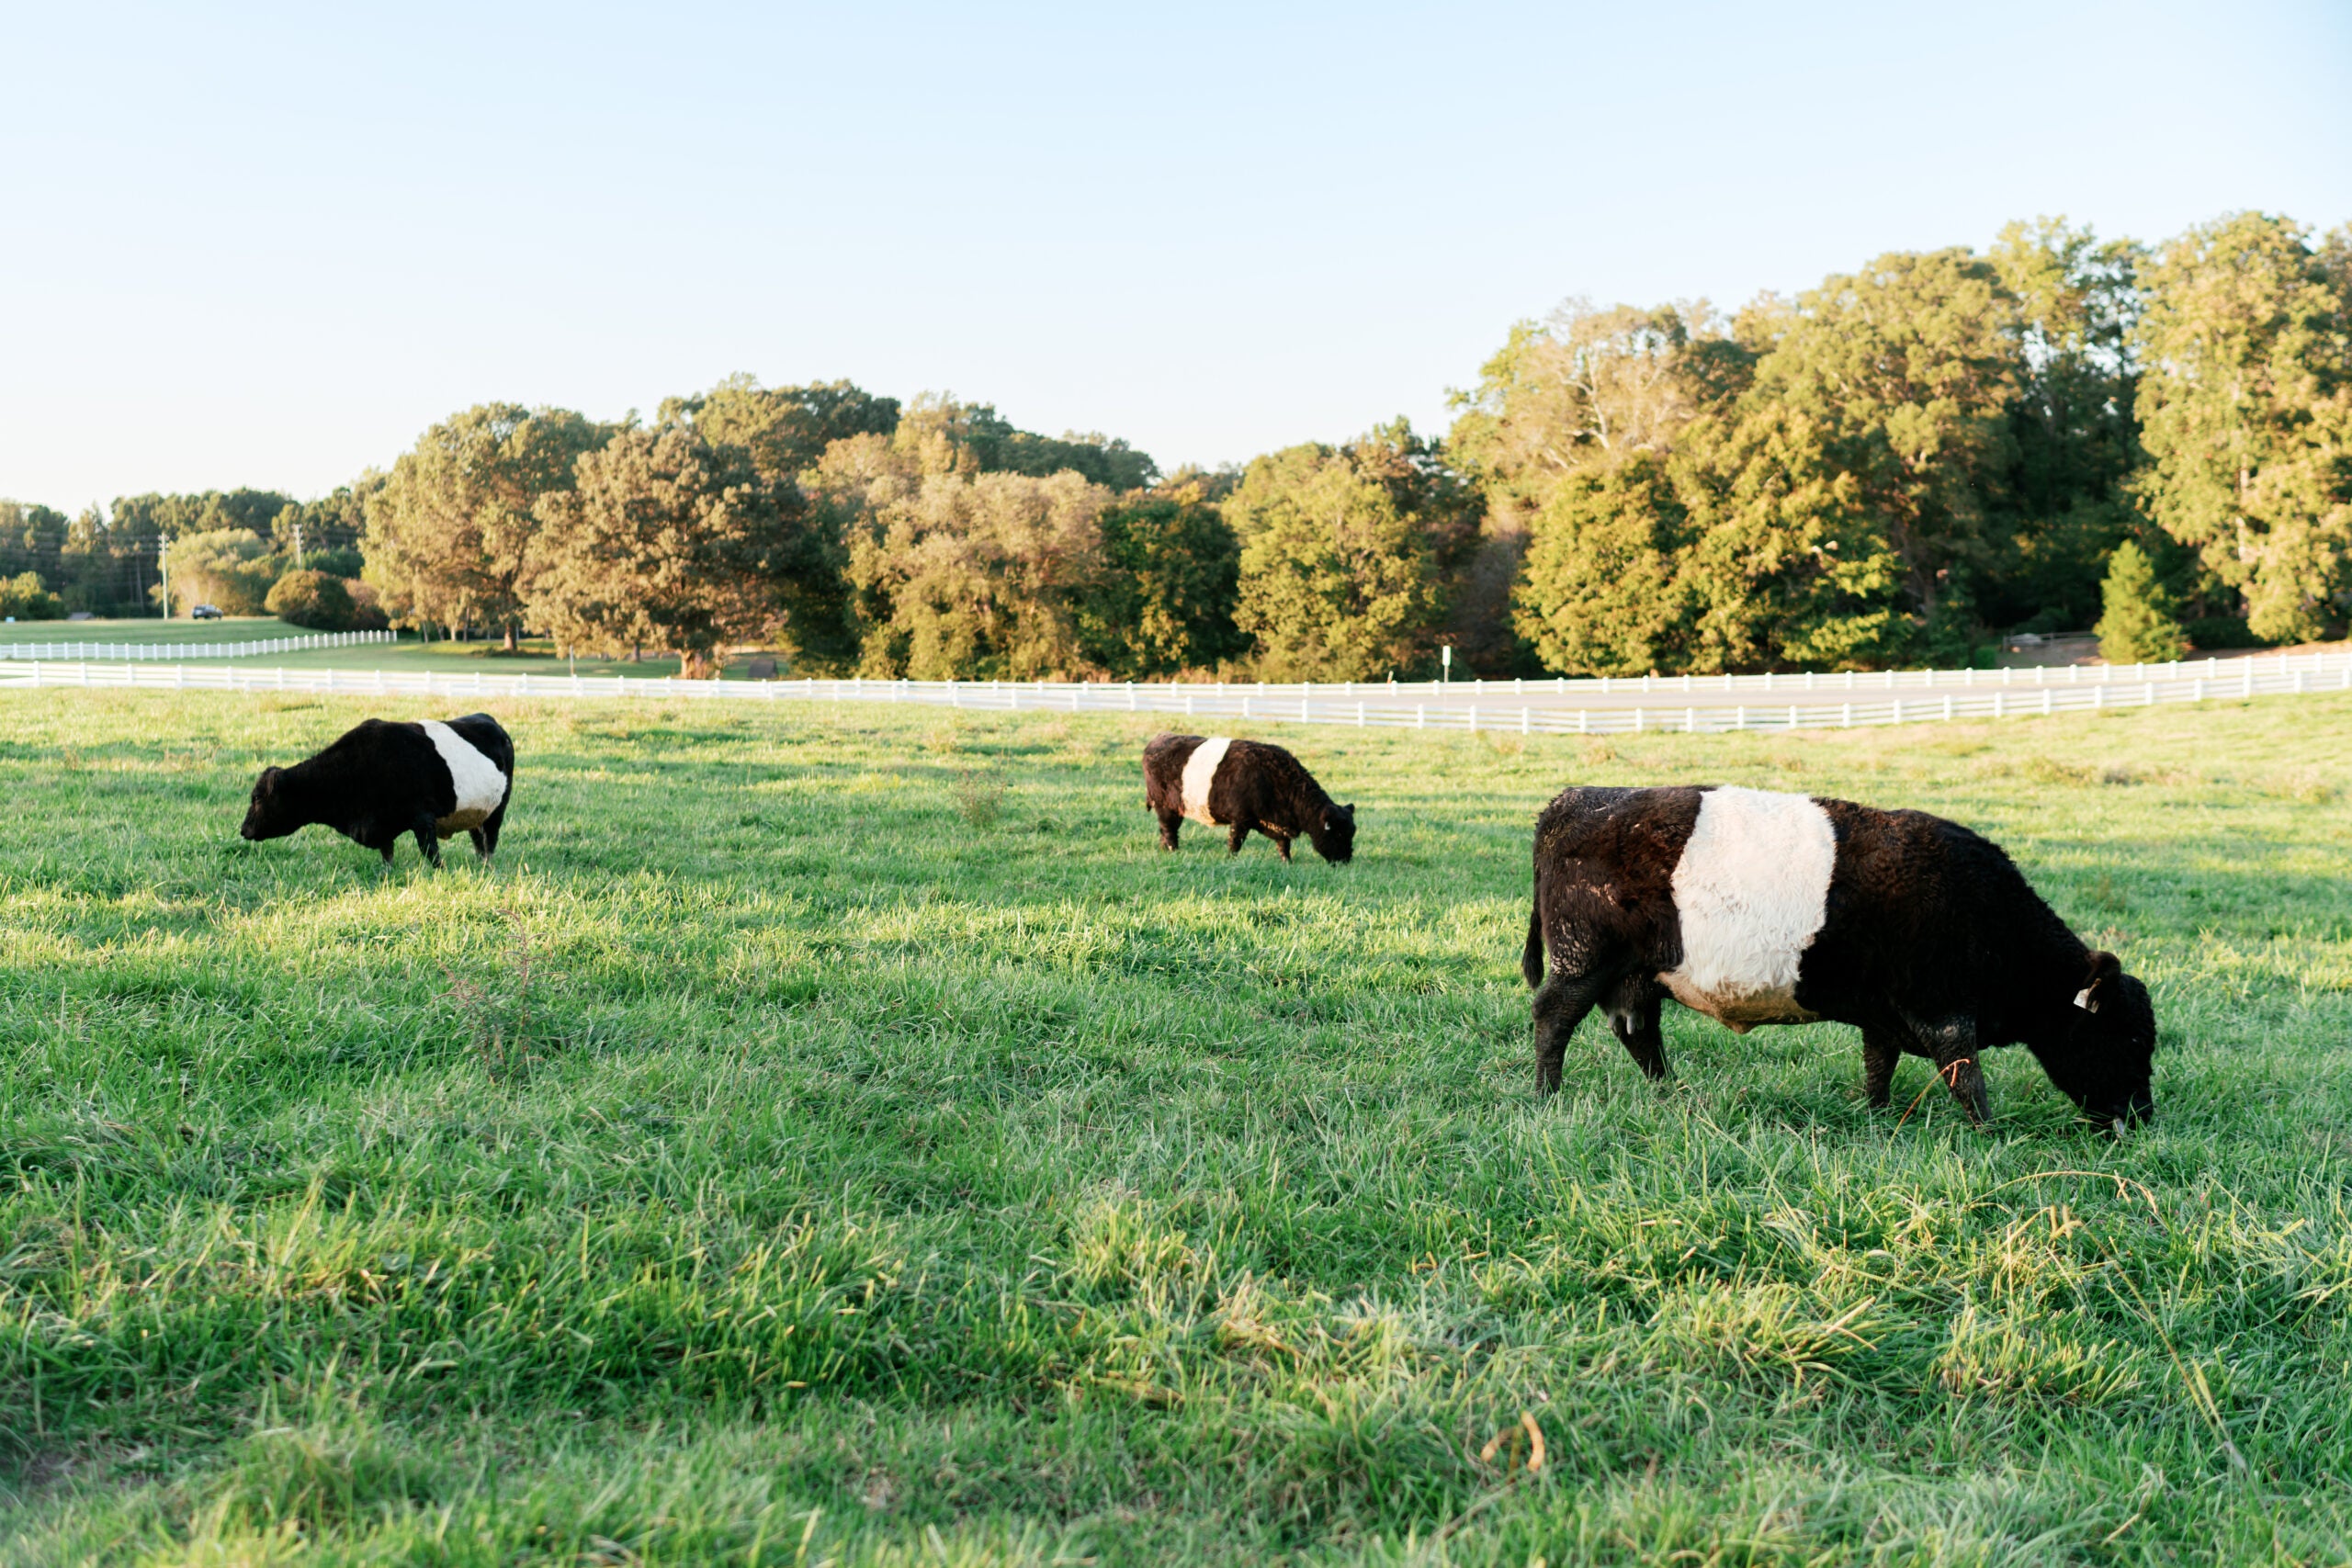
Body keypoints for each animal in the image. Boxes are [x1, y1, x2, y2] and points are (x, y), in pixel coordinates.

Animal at [240, 714, 514, 868]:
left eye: (257, 798)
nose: (243, 830)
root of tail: (492, 722)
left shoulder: (422, 817)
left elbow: (431, 854)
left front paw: (440, 873)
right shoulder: (382, 825)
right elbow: (387, 856)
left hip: (498, 808)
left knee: (490, 840)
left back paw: (488, 868)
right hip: (476, 810)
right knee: (478, 840)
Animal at [1142, 733, 1355, 863]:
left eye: (1351, 833)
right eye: (1337, 834)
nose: (1345, 860)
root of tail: (1158, 739)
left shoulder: (1278, 825)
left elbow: (1284, 846)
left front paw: (1287, 863)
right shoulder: (1241, 819)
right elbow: (1235, 843)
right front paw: (1230, 860)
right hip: (1166, 806)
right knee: (1169, 830)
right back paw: (1172, 851)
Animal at [1520, 784, 2157, 1130]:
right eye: (2126, 1039)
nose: (2140, 1117)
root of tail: (1576, 800)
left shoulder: (1886, 1012)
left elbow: (1880, 1066)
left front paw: (1877, 1118)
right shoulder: (1943, 1010)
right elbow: (1965, 1077)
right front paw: (1991, 1134)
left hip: (1637, 975)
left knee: (1637, 1031)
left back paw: (1669, 1093)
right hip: (1583, 960)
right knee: (1553, 1017)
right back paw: (1547, 1096)